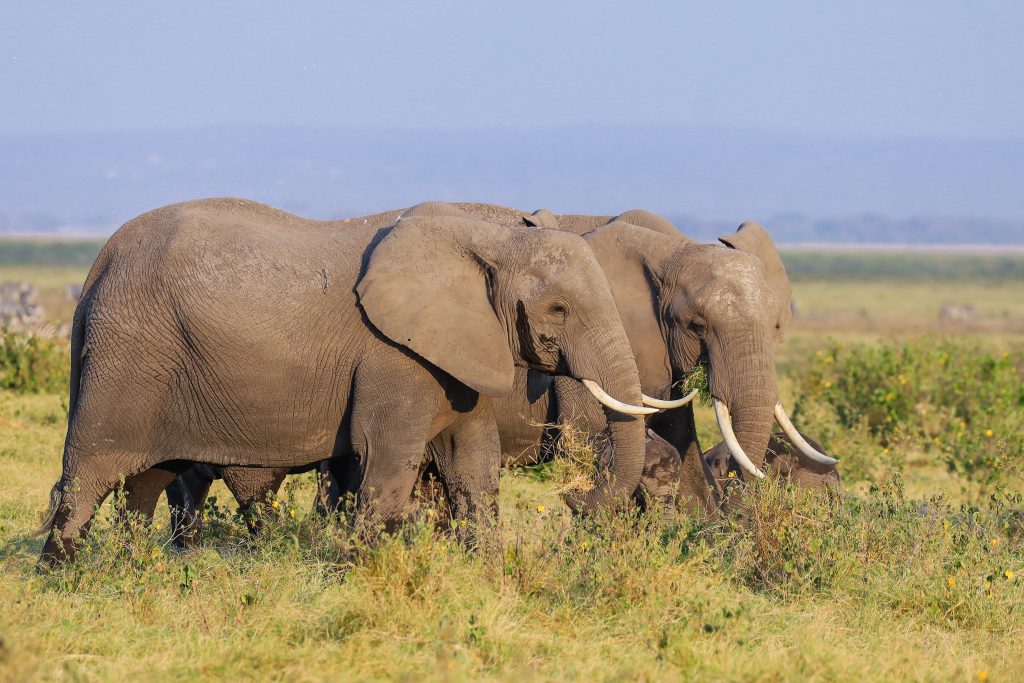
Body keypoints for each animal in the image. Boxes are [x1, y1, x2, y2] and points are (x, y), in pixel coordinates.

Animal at [36, 198, 655, 566]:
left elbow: (473, 464)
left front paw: (485, 570)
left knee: (146, 479)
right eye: (559, 309)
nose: (575, 497)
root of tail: (97, 266)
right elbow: (389, 459)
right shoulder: (394, 357)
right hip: (128, 358)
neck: (490, 238)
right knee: (90, 473)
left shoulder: (462, 351)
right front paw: (362, 568)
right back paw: (62, 574)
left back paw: (132, 566)